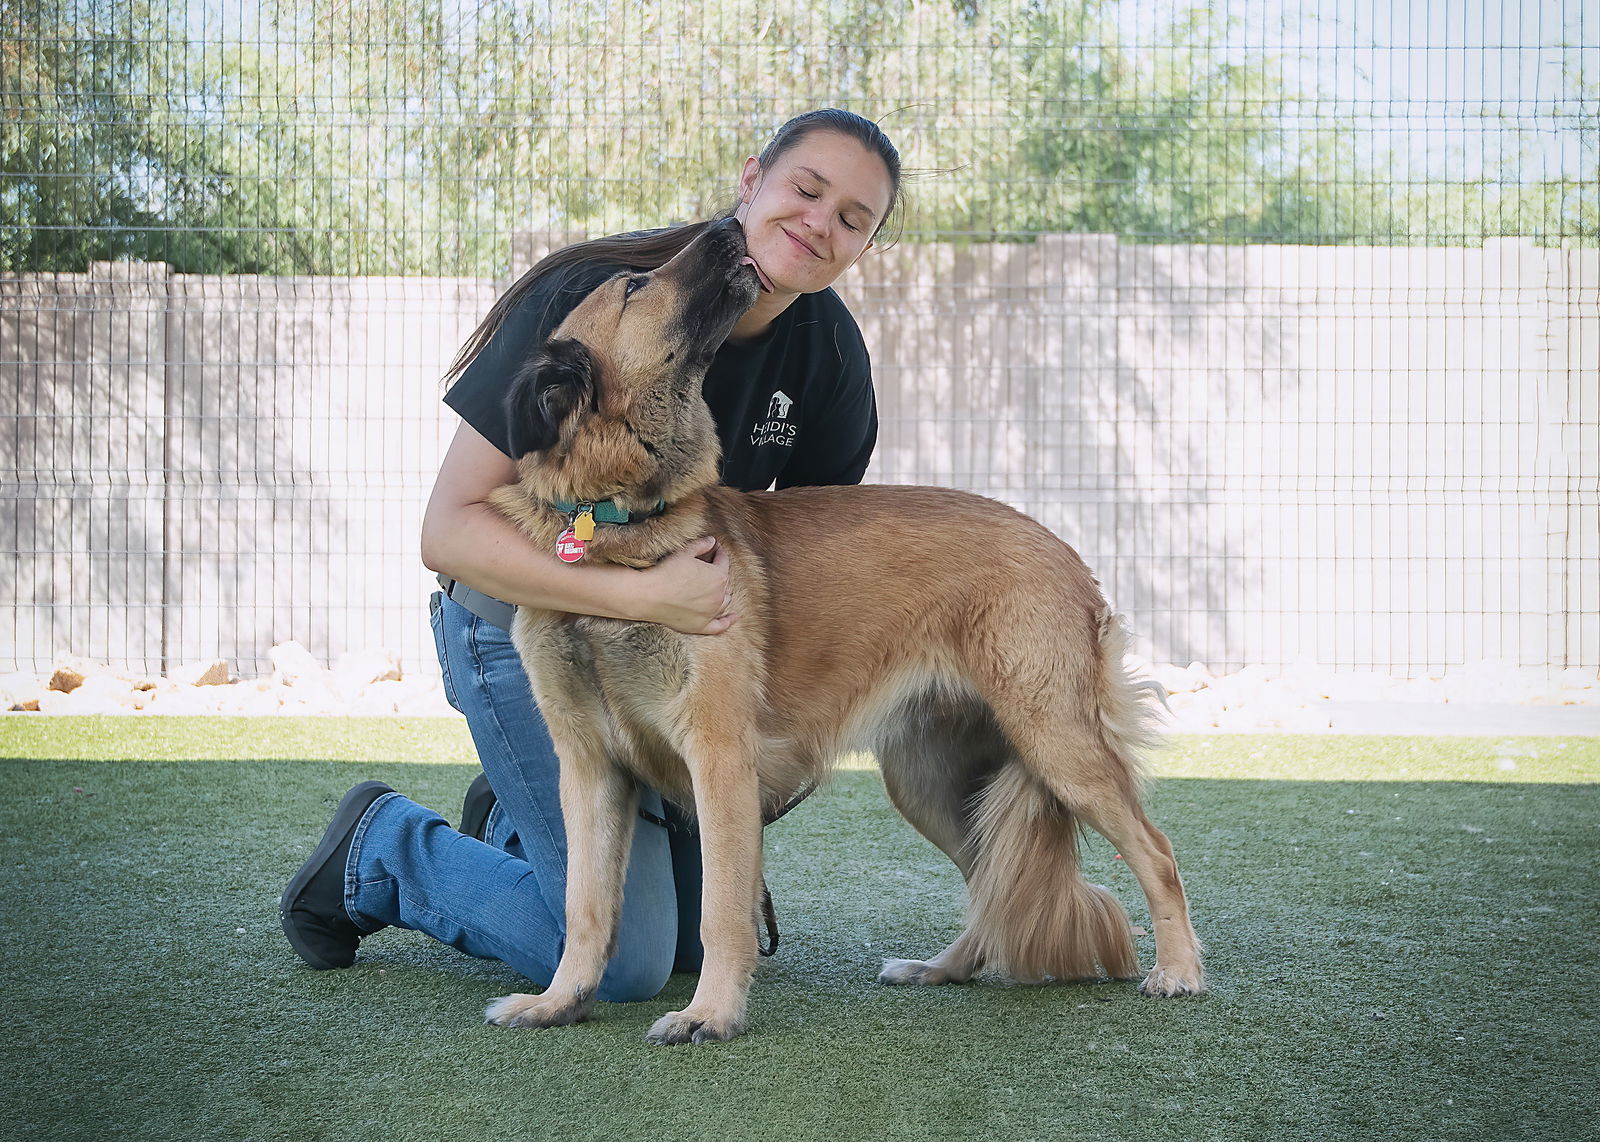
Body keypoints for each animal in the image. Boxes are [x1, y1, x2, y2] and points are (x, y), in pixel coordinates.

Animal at [480, 215, 1203, 1042]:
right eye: (635, 285)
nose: (728, 225)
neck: (618, 528)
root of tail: (1065, 552)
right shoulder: (590, 771)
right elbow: (586, 905)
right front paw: (560, 1000)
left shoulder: (719, 760)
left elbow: (721, 911)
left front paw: (710, 1013)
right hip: (929, 782)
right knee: (991, 880)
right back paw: (941, 968)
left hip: (1058, 745)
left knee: (1157, 853)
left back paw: (1178, 969)